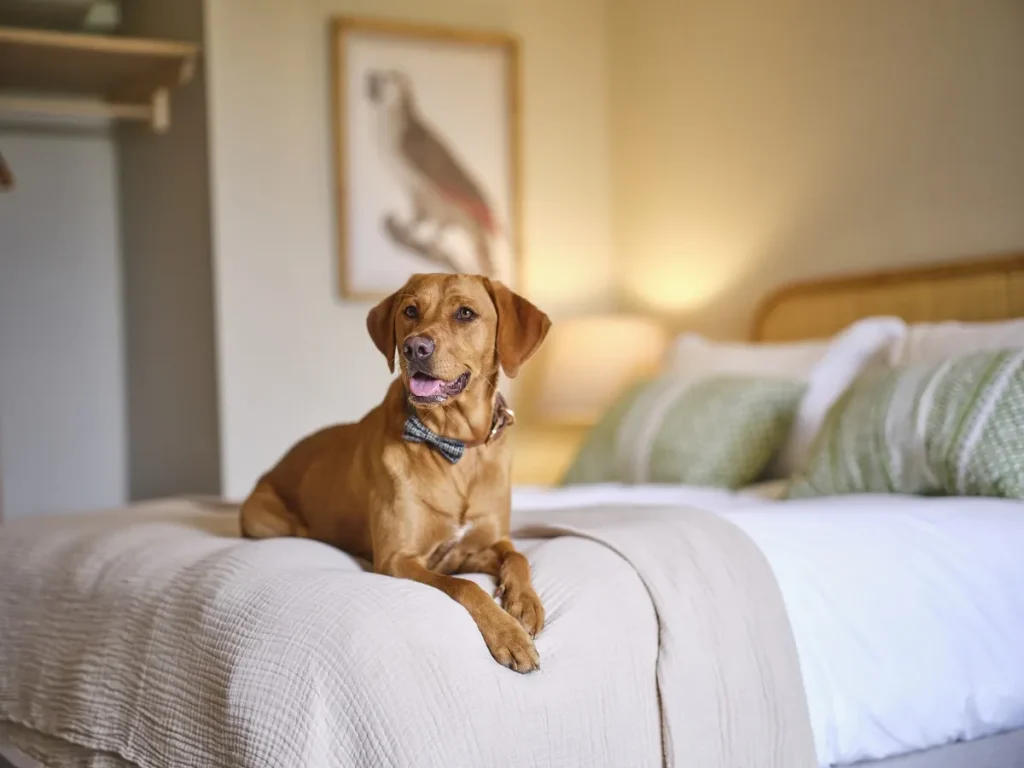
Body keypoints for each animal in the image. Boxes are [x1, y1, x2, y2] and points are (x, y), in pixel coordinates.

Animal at [240, 274, 552, 671]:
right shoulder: (398, 559)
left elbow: (518, 556)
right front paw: (508, 634)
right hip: (263, 519)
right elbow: (465, 586)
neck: (454, 444)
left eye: (466, 313)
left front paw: (524, 602)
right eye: (410, 311)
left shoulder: (482, 545)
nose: (414, 347)